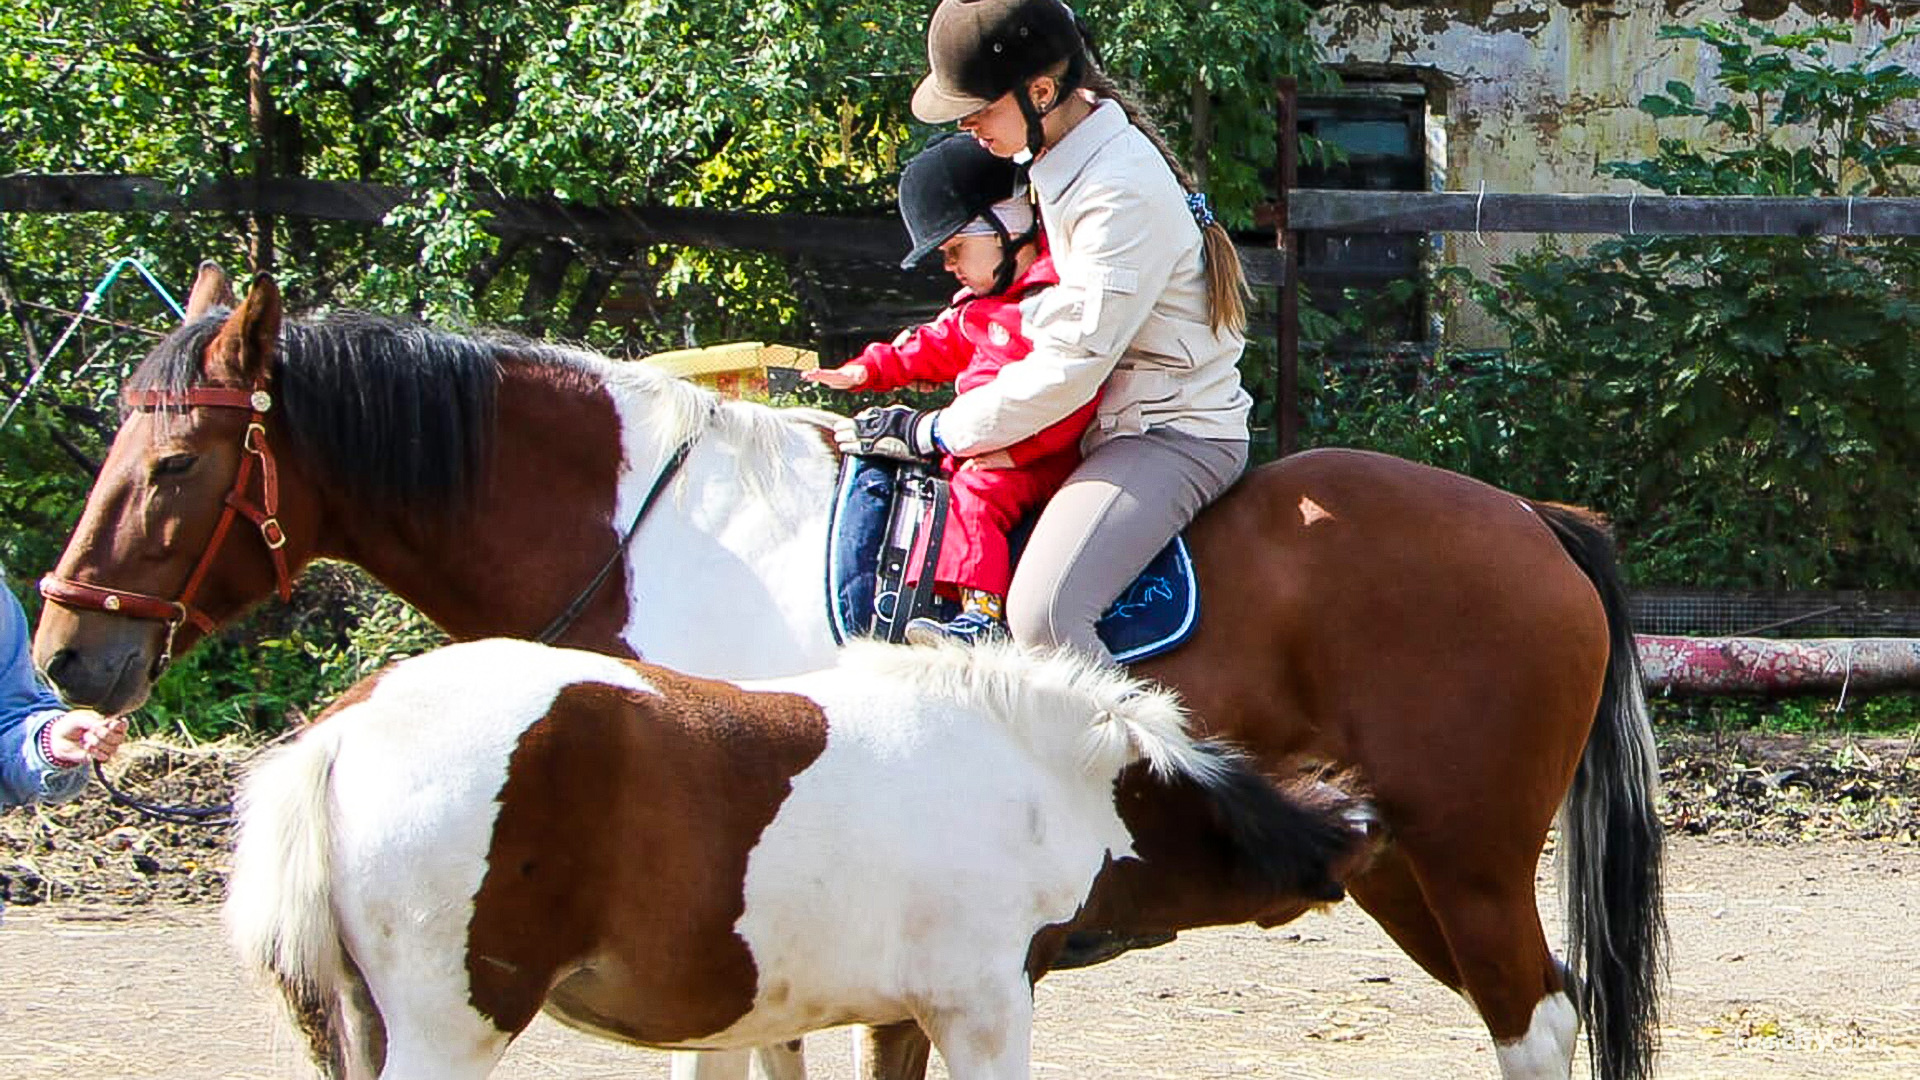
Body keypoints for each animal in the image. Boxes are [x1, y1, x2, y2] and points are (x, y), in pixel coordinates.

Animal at [33, 263, 1666, 1076]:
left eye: (175, 465)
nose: (65, 651)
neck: (654, 526)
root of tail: (1534, 519)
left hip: (1463, 862)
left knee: (1537, 1024)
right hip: (1402, 868)